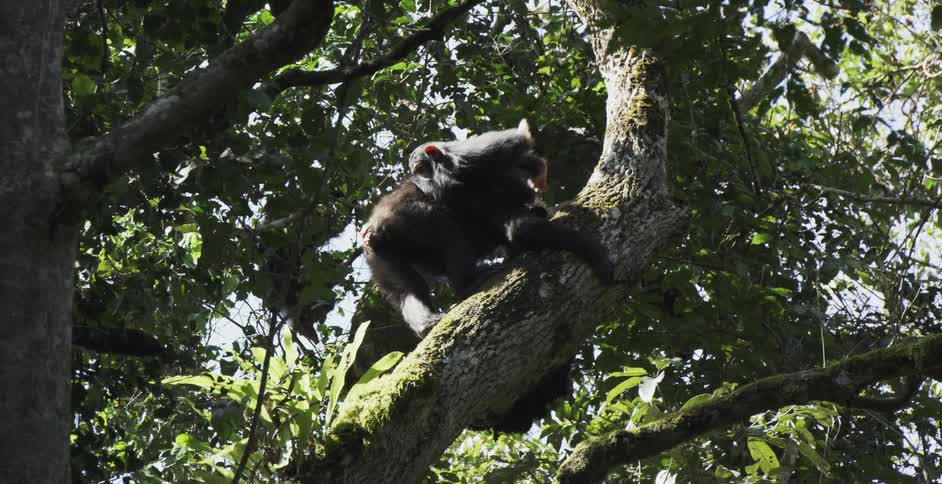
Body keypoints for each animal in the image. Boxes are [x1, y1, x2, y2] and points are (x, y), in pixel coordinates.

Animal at [362, 120, 613, 336]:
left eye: (421, 167)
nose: (421, 175)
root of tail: (372, 229)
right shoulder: (471, 169)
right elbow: (521, 227)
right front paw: (593, 250)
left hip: (382, 256)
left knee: (407, 290)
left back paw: (425, 321)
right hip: (411, 218)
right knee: (448, 233)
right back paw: (467, 284)